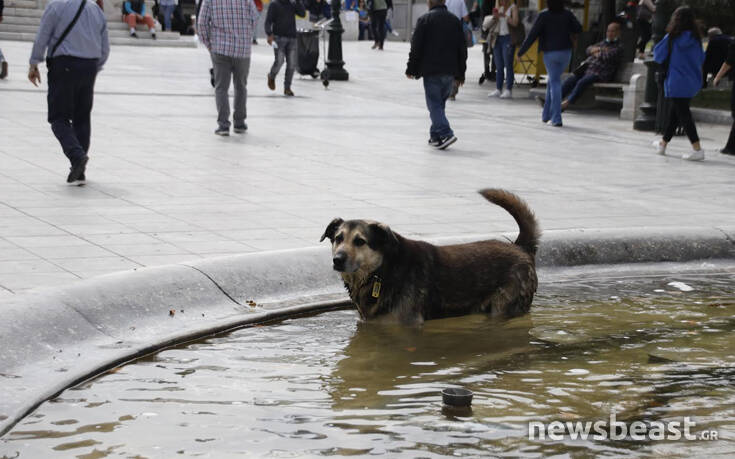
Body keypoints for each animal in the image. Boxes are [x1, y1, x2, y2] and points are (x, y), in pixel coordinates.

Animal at [320, 189, 540, 326]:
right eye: (338, 238)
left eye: (360, 241)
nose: (337, 260)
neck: (383, 270)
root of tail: (520, 247)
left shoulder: (406, 323)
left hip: (504, 307)